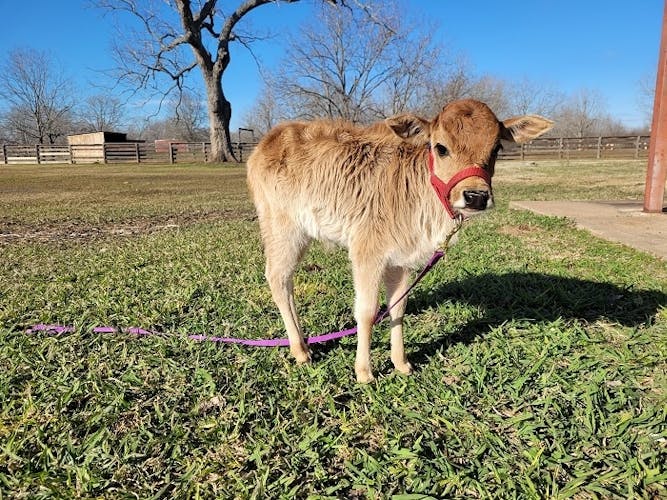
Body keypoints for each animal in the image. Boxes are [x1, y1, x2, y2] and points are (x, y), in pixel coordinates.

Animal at [245, 98, 552, 382]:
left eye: (496, 148)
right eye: (440, 147)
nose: (476, 196)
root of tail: (266, 141)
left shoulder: (401, 260)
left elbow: (398, 308)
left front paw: (401, 363)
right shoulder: (366, 253)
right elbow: (367, 311)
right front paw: (364, 372)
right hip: (283, 230)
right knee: (278, 279)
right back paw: (300, 350)